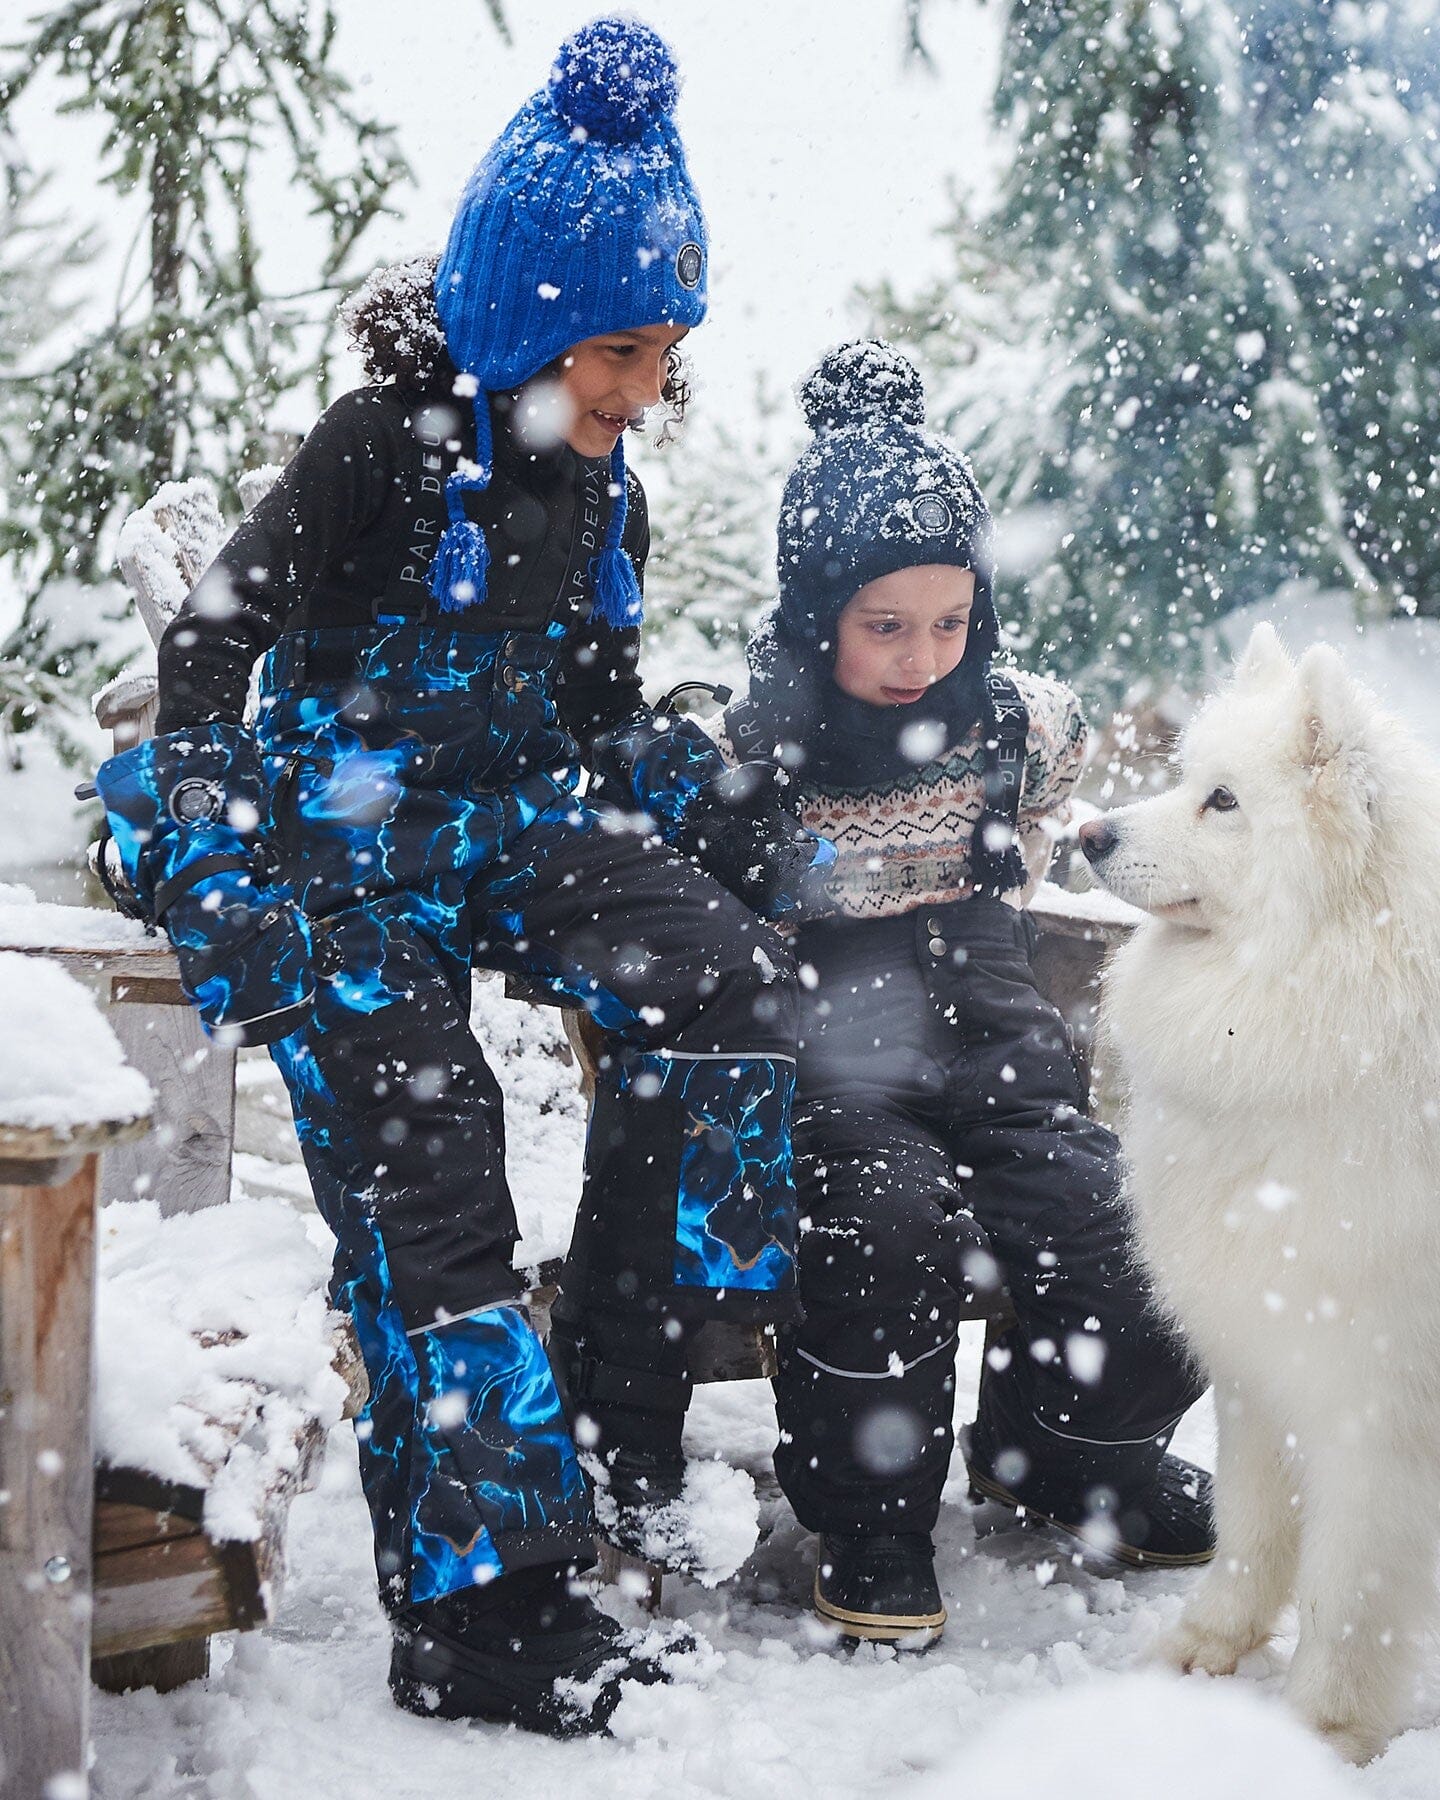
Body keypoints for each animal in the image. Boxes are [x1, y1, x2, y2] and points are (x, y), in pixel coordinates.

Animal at [1080, 626, 1440, 1764]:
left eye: (1224, 802)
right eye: (1185, 775)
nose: (1089, 832)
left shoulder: (1374, 1407)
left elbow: (1347, 1594)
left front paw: (1322, 1734)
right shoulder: (1259, 1358)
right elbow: (1250, 1532)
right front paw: (1207, 1650)